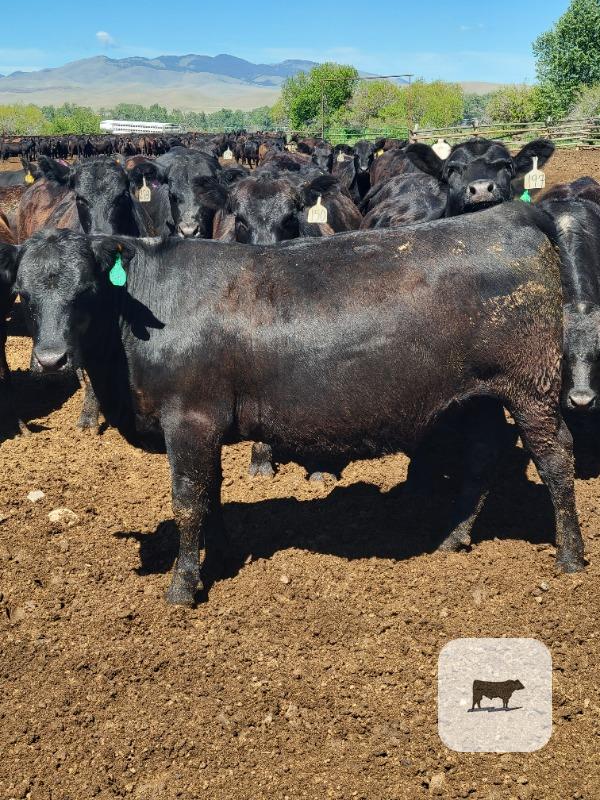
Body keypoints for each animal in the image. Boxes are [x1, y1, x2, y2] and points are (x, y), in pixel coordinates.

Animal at [1, 202, 585, 605]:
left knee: (555, 457)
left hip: (531, 387)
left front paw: (183, 586)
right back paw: (452, 539)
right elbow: (212, 494)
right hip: (479, 395)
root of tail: (509, 213)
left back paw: (571, 557)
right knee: (483, 457)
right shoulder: (209, 426)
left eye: (86, 290)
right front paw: (223, 555)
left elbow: (188, 501)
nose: (50, 360)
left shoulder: (189, 419)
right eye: (23, 294)